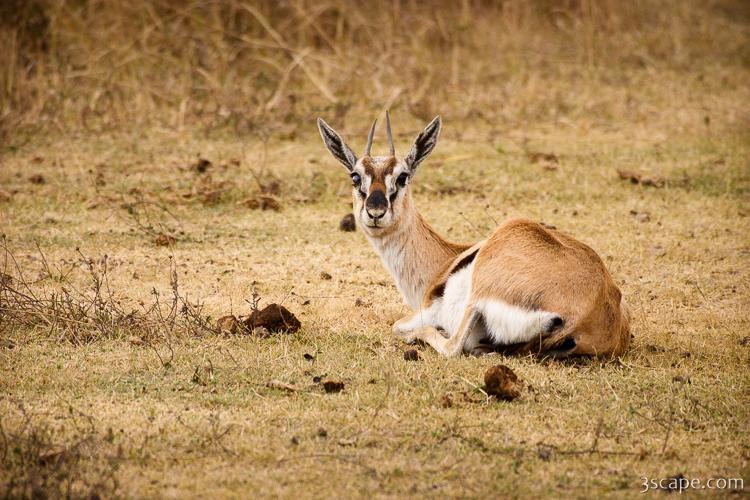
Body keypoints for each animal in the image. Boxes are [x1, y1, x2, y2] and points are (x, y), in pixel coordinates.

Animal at [317, 112, 631, 358]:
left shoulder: (428, 310)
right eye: (355, 176)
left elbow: (398, 326)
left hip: (479, 290)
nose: (375, 211)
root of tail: (590, 310)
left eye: (403, 176)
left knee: (453, 346)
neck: (444, 262)